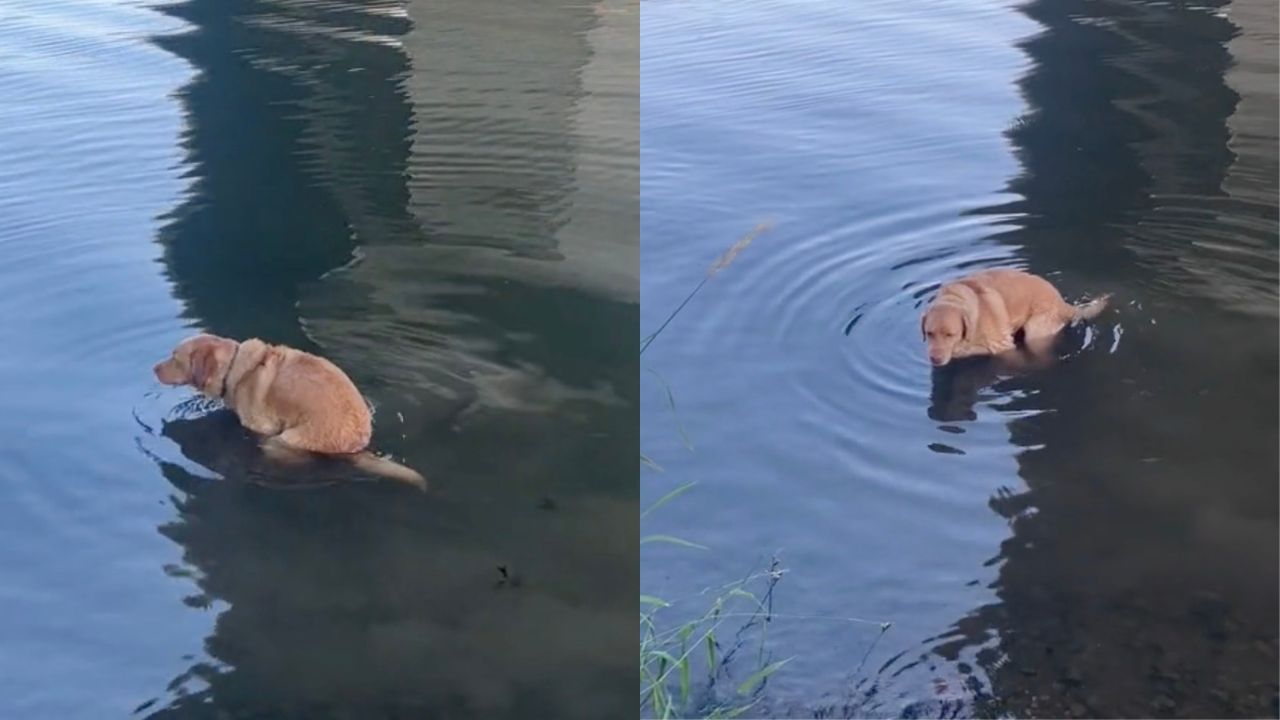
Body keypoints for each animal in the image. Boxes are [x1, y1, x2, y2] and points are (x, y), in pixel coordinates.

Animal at [154, 333, 424, 484]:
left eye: (175, 357)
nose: (153, 368)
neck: (233, 368)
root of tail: (358, 445)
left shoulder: (261, 427)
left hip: (283, 440)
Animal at [921, 267, 1111, 363]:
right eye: (929, 334)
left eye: (950, 334)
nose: (935, 359)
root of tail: (1062, 303)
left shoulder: (1003, 346)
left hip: (1035, 330)